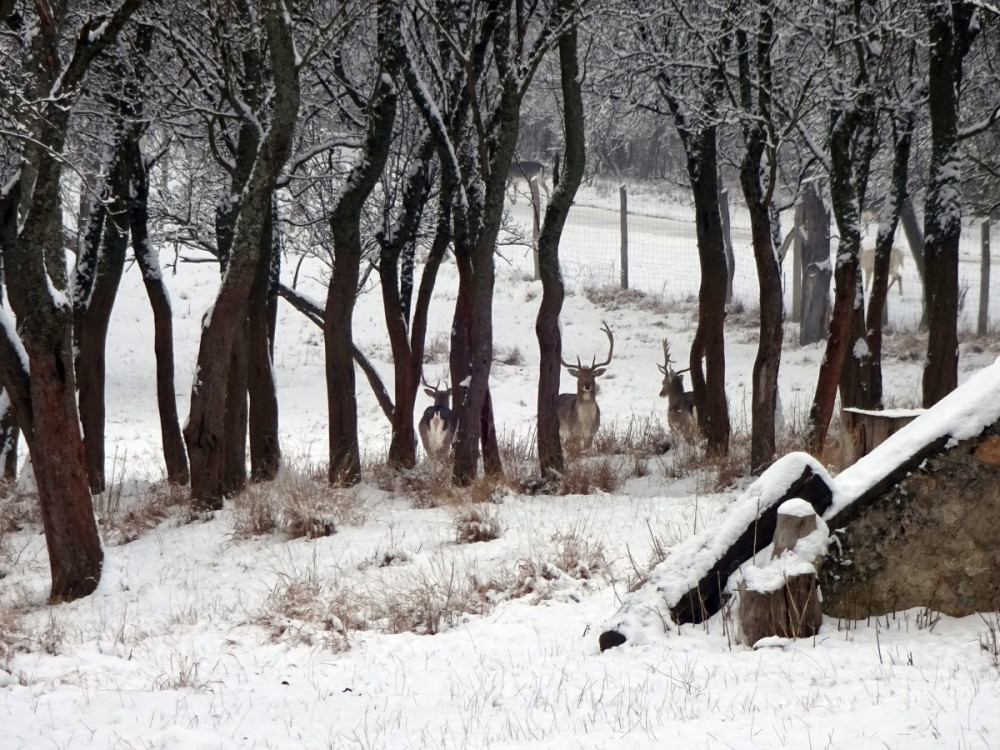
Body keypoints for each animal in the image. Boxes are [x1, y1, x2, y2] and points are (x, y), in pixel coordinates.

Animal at [560, 324, 612, 452]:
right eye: (579, 376)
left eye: (593, 375)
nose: (587, 385)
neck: (585, 423)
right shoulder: (572, 433)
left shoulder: (592, 433)